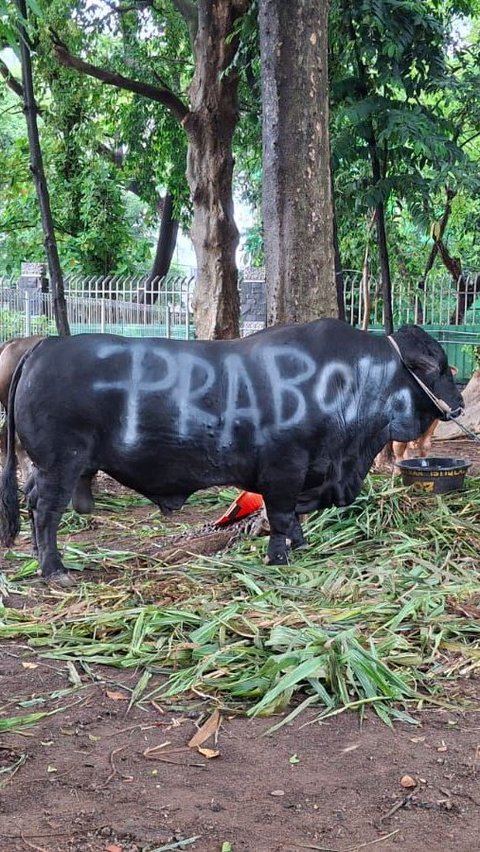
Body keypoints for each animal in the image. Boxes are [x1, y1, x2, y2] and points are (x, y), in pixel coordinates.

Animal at [0, 320, 464, 584]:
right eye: (437, 367)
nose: (458, 404)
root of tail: (43, 346)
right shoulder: (284, 467)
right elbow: (281, 515)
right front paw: (280, 555)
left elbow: (294, 515)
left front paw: (299, 543)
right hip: (60, 463)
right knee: (46, 511)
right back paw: (54, 569)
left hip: (48, 465)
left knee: (33, 502)